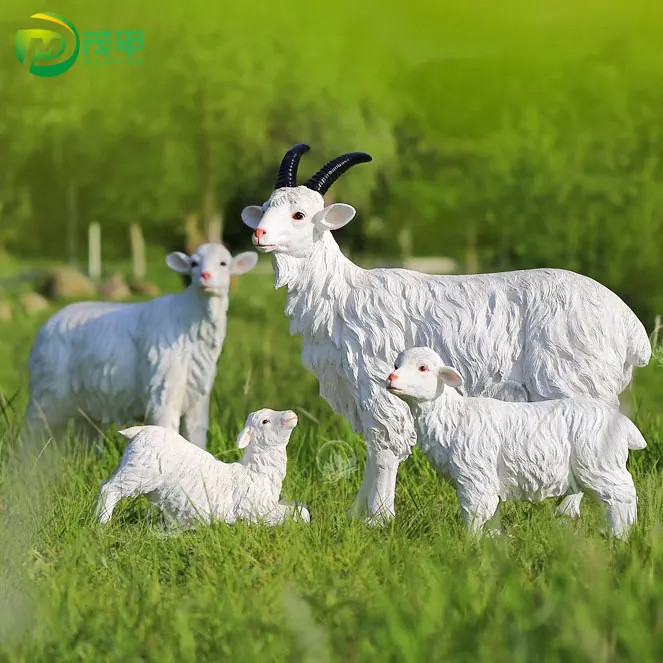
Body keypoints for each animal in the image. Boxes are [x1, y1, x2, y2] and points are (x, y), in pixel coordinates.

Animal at [23, 243, 258, 449]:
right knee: (33, 430)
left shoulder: (199, 396)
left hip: (87, 396)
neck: (190, 317)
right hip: (47, 388)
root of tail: (48, 324)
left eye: (223, 263)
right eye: (193, 263)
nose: (205, 277)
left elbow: (196, 436)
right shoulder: (163, 390)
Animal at [95, 408, 310, 527]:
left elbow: (301, 509)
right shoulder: (255, 510)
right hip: (140, 472)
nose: (291, 414)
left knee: (105, 484)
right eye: (265, 421)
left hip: (131, 465)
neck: (253, 473)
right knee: (110, 489)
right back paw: (102, 524)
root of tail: (138, 432)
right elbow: (300, 513)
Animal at [386, 347, 646, 539]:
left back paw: (621, 535)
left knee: (622, 494)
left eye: (423, 368)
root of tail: (623, 422)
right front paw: (492, 540)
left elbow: (474, 512)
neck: (452, 416)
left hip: (598, 463)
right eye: (396, 365)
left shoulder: (475, 476)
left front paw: (469, 544)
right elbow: (491, 513)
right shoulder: (487, 478)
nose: (391, 378)